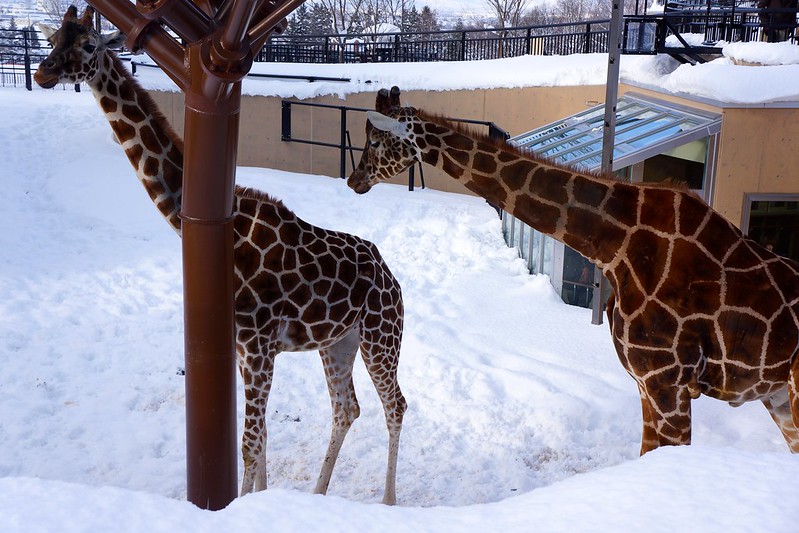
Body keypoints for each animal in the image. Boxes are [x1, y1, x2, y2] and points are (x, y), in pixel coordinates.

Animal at [34, 6, 406, 500]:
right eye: (53, 39)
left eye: (89, 44)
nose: (42, 72)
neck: (233, 239)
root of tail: (393, 279)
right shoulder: (245, 348)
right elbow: (259, 437)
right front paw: (261, 498)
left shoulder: (259, 344)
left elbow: (249, 442)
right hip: (339, 341)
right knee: (347, 408)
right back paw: (318, 494)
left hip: (381, 336)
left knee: (396, 405)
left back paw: (387, 500)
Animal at [348, 85, 799, 456]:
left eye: (375, 139)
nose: (354, 180)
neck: (617, 246)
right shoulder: (644, 382)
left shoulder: (666, 381)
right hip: (776, 395)